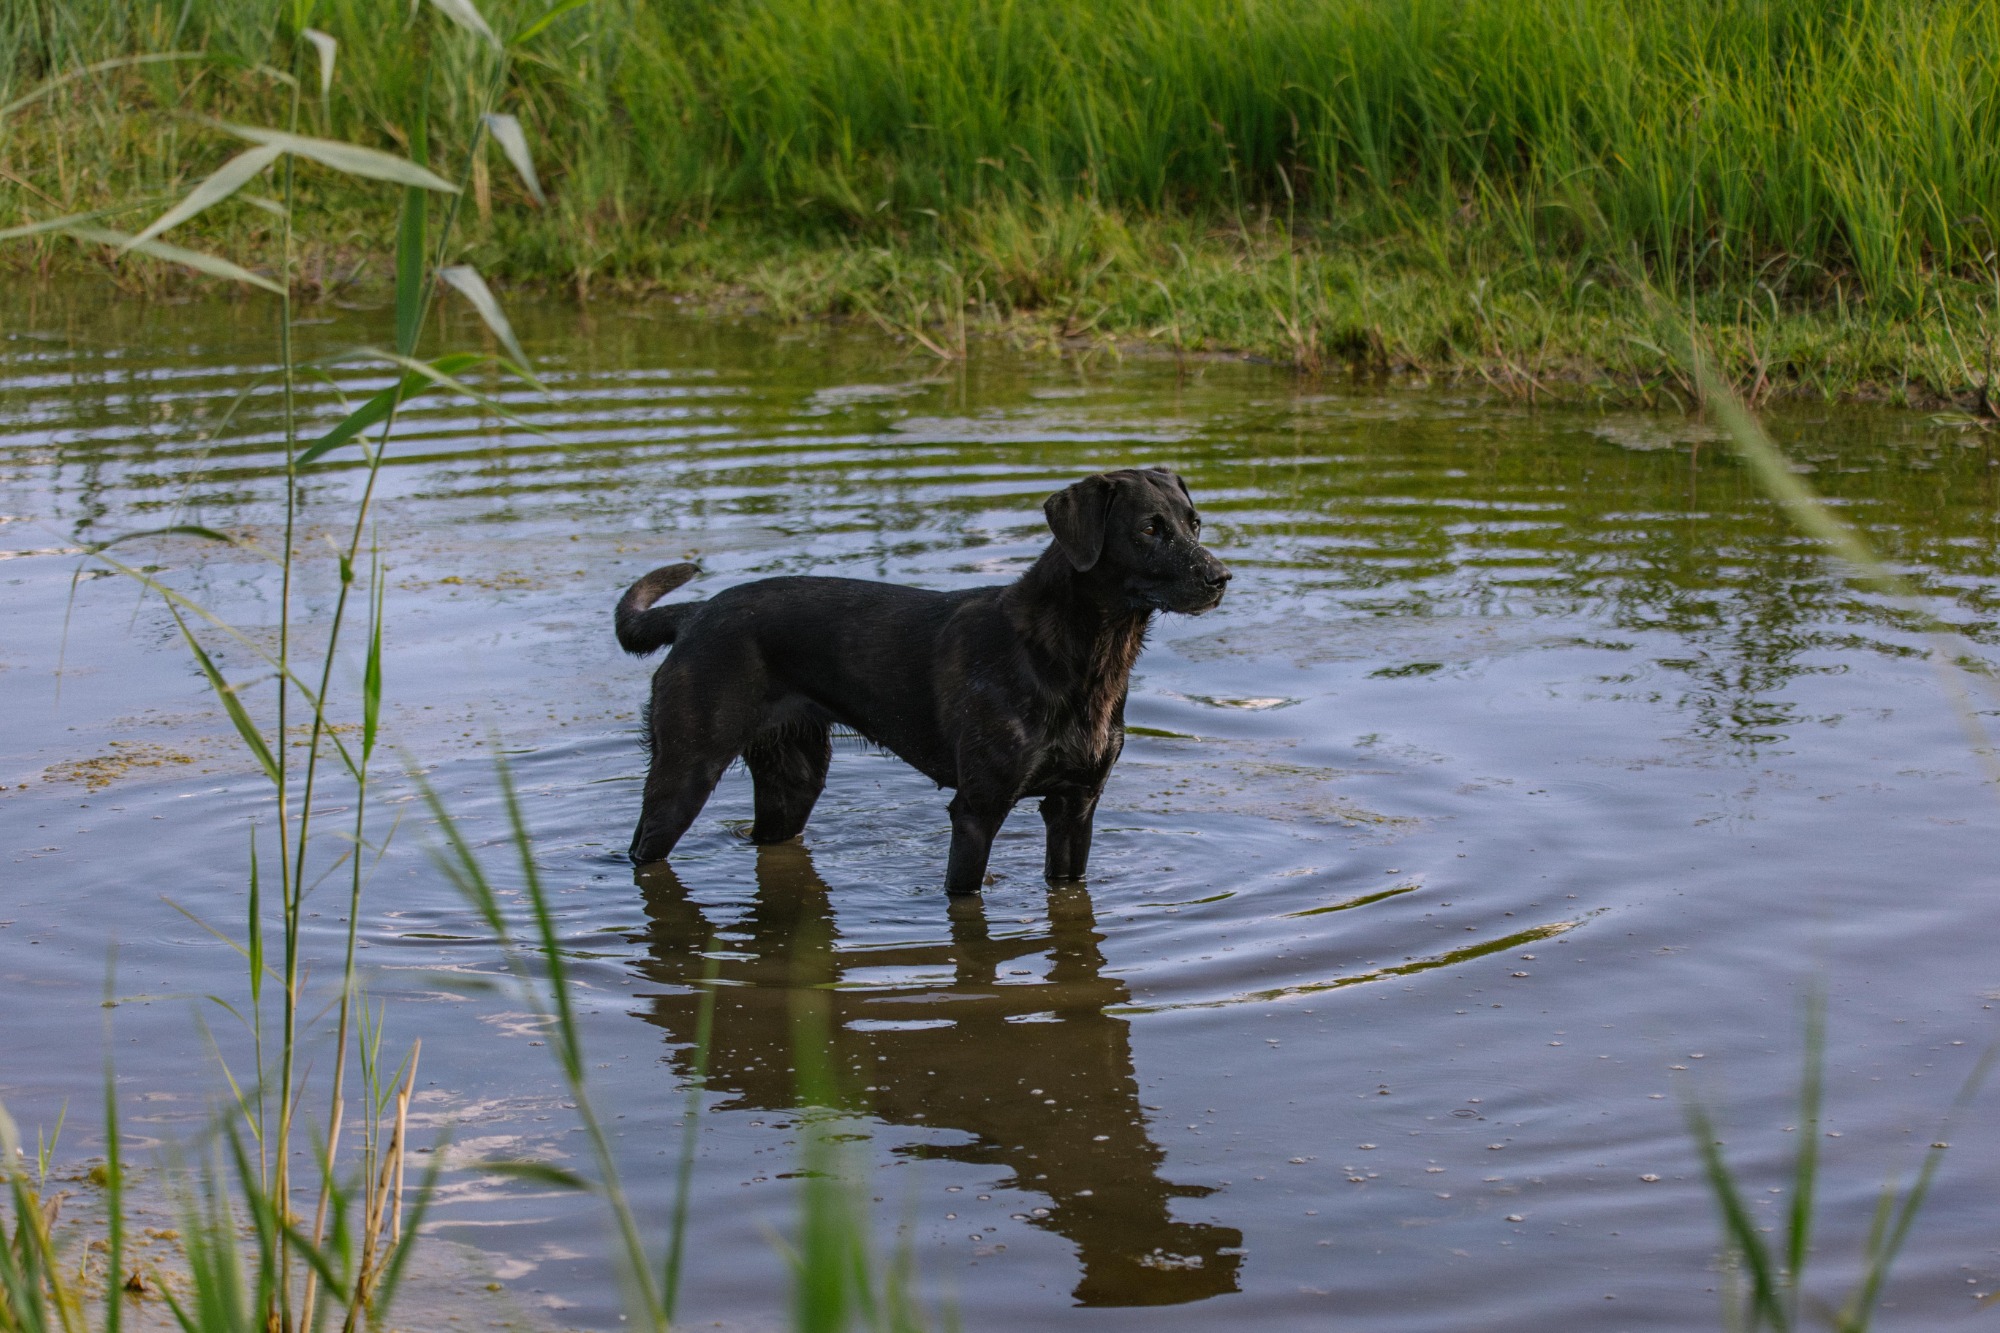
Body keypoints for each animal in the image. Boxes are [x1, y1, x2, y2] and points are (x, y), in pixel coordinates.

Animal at [613, 467, 1229, 894]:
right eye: (1148, 529)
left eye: (1194, 523)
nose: (1221, 577)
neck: (1080, 658)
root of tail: (695, 614)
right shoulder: (977, 808)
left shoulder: (1076, 805)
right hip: (685, 773)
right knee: (640, 850)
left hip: (793, 782)